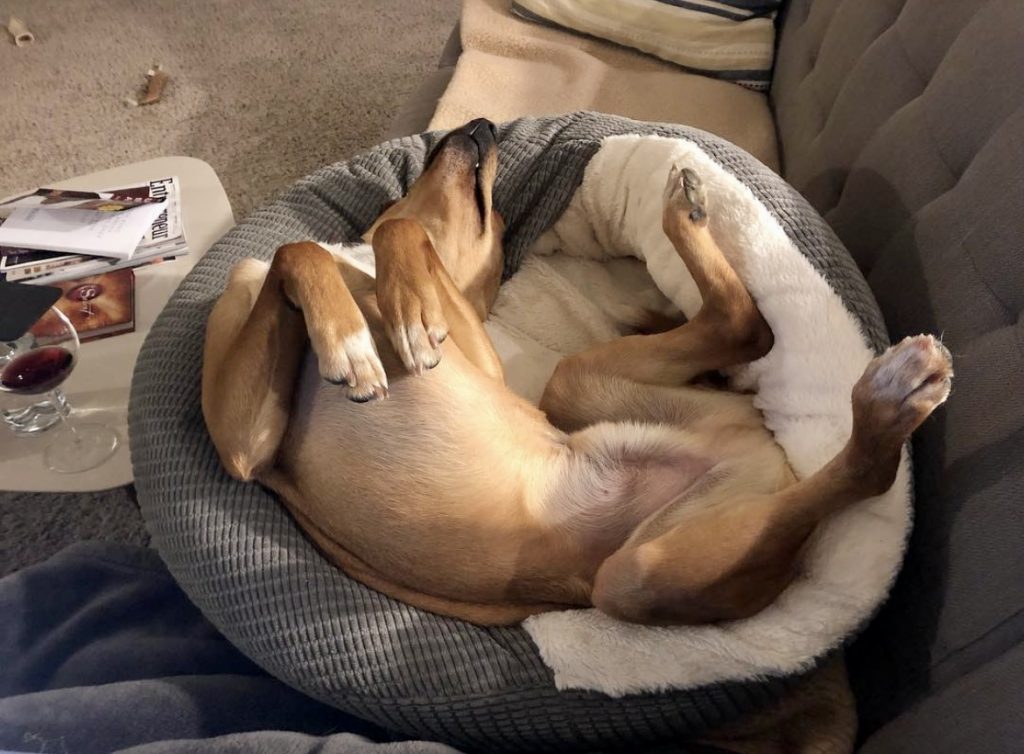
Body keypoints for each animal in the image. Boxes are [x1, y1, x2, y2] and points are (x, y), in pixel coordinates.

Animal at [199, 117, 950, 631]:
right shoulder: (245, 448)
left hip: (632, 567)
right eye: (500, 219)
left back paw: (888, 401)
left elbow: (387, 239)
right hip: (590, 408)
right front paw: (350, 336)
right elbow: (299, 251)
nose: (480, 122)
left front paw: (388, 317)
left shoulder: (477, 355)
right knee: (747, 329)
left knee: (857, 465)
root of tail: (766, 464)